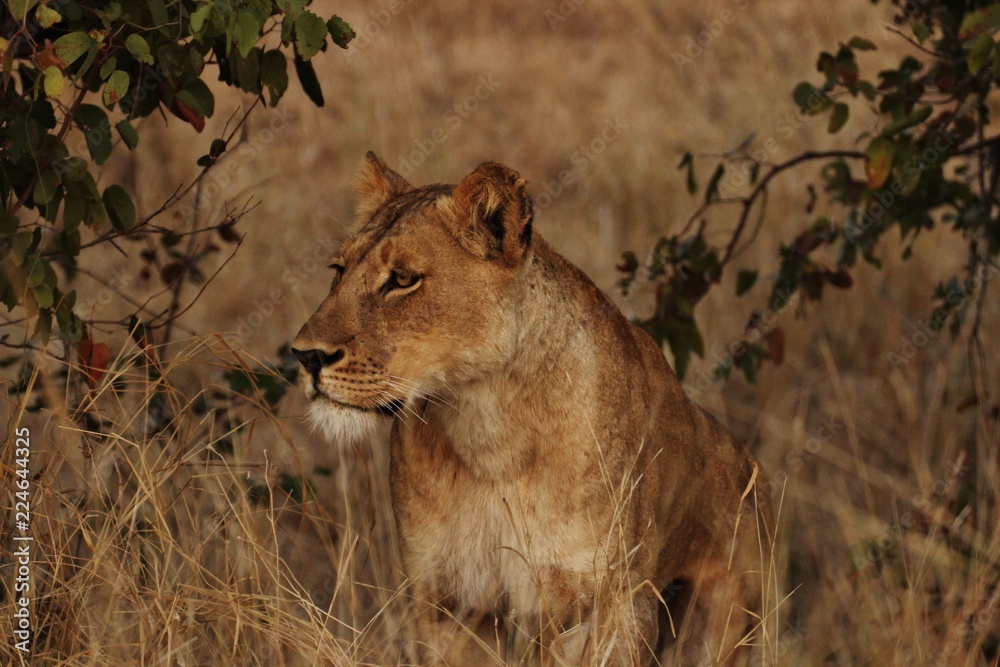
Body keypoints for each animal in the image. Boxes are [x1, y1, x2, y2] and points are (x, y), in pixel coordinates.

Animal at [292, 153, 775, 665]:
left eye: (402, 279)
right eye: (337, 270)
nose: (305, 356)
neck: (485, 427)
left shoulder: (609, 605)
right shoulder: (446, 605)